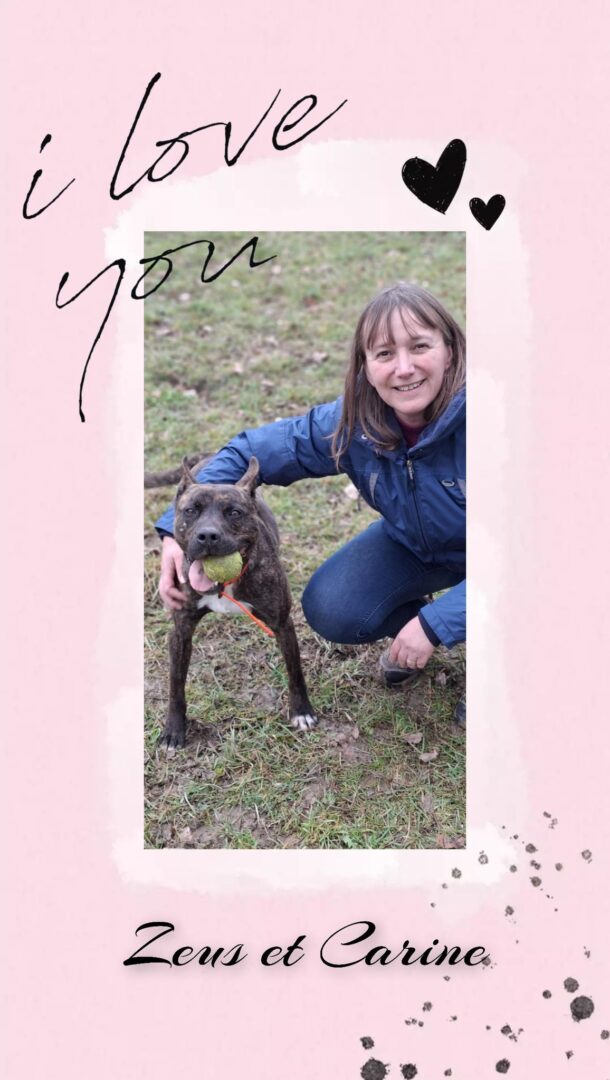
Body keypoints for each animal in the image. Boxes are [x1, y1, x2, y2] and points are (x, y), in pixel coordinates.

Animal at [159, 455, 317, 748]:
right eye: (190, 511)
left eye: (234, 512)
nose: (207, 536)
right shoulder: (180, 631)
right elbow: (176, 684)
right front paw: (173, 730)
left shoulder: (282, 624)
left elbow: (295, 671)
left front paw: (301, 711)